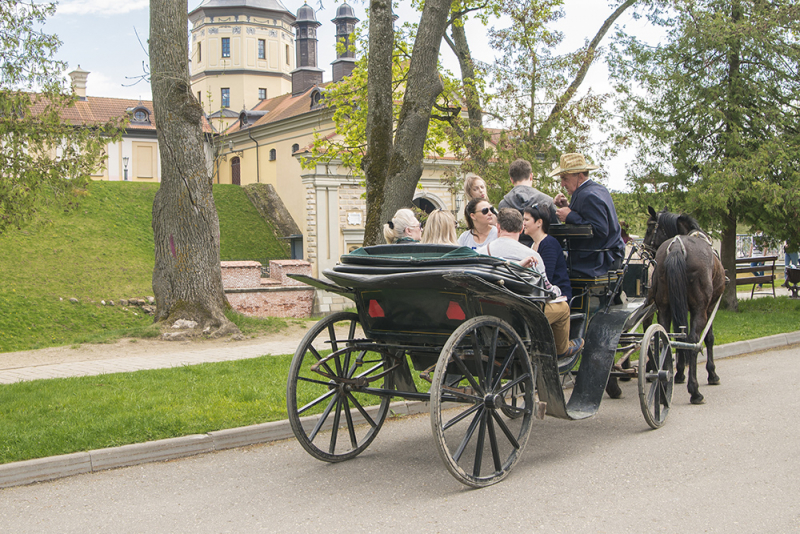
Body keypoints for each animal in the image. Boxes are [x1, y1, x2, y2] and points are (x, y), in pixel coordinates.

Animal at [640, 207, 728, 404]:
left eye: (649, 229)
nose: (645, 251)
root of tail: (677, 247)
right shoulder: (709, 307)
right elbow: (707, 338)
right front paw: (712, 374)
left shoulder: (675, 307)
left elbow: (678, 335)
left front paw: (679, 373)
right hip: (700, 309)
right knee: (693, 340)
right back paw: (694, 391)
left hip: (665, 307)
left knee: (664, 336)